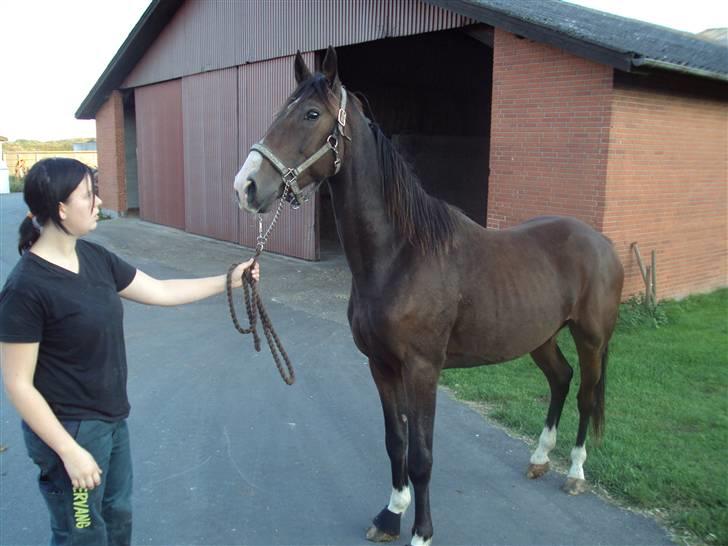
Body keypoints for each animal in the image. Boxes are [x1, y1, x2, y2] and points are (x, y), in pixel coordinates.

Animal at [233, 46, 624, 544]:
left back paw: (574, 472)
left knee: (586, 394)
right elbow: (395, 441)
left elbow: (422, 454)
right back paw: (539, 459)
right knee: (561, 378)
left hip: (590, 337)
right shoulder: (381, 366)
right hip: (541, 336)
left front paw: (421, 531)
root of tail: (601, 242)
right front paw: (391, 514)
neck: (401, 255)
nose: (246, 187)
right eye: (281, 109)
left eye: (311, 114)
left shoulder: (423, 370)